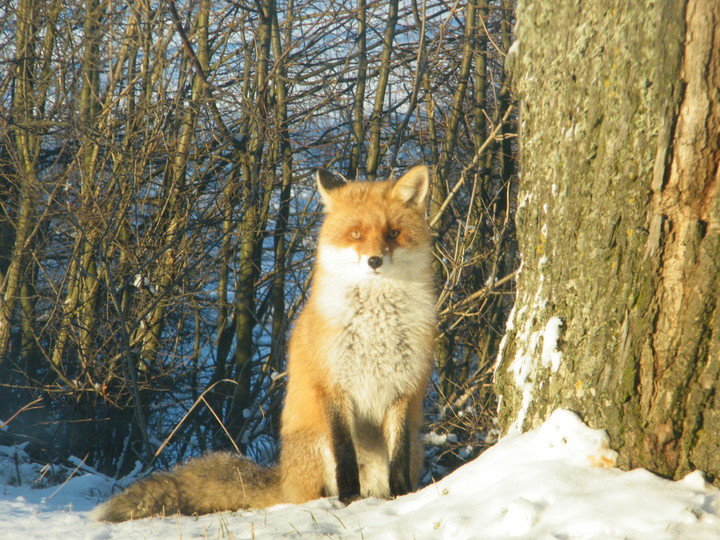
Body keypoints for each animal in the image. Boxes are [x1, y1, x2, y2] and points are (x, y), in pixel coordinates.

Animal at [92, 166, 436, 524]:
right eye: (355, 234)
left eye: (394, 233)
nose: (374, 261)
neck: (375, 322)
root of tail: (283, 478)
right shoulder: (332, 389)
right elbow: (345, 457)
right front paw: (350, 500)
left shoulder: (403, 390)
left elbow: (398, 462)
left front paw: (404, 498)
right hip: (315, 444)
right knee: (312, 492)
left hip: (409, 446)